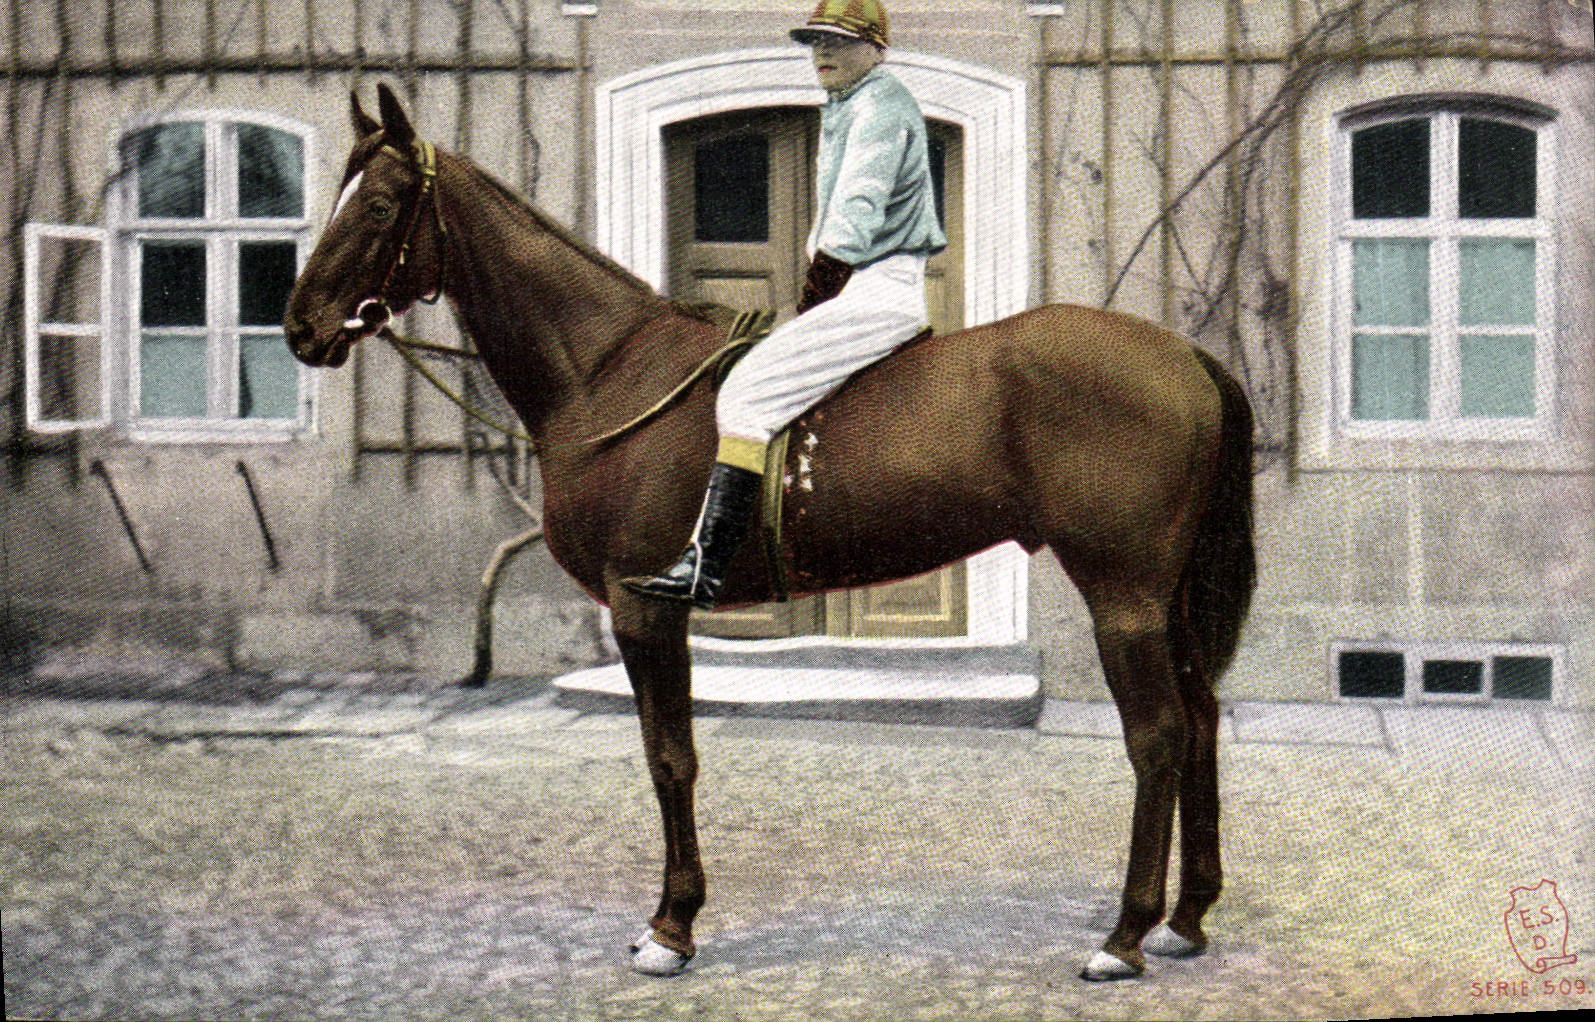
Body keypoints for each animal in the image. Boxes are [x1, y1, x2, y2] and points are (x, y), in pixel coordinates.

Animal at [285, 84, 1256, 982]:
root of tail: (1183, 355)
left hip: (1122, 596)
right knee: (1201, 719)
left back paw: (1123, 936)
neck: (610, 369)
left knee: (1158, 736)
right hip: (1163, 600)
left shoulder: (646, 612)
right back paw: (1185, 920)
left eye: (379, 205)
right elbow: (670, 757)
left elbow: (670, 759)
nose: (301, 327)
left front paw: (671, 928)